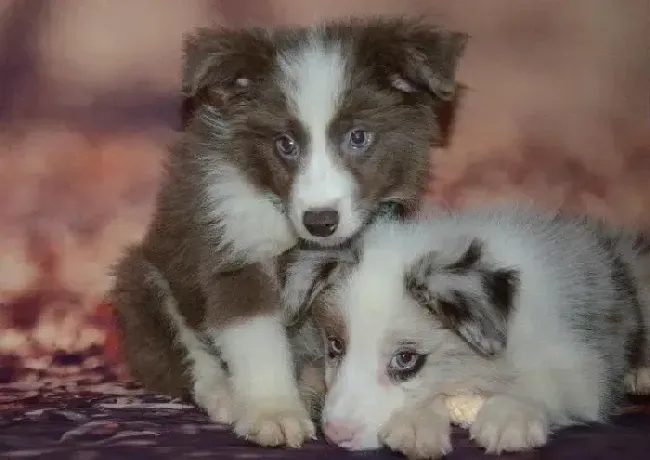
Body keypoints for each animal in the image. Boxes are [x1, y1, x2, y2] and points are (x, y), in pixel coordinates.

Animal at [110, 18, 466, 450]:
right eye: (285, 144)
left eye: (358, 137)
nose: (320, 221)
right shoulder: (235, 252)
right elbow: (257, 340)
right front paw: (274, 412)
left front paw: (416, 418)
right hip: (141, 280)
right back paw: (225, 394)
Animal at [282, 203, 648, 458]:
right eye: (335, 345)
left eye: (405, 359)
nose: (335, 434)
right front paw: (417, 423)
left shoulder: (581, 367)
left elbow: (543, 386)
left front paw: (510, 416)